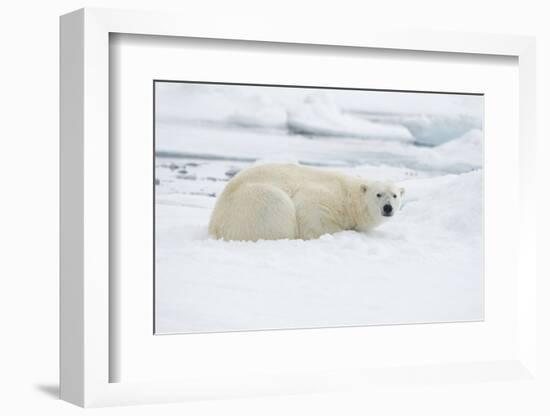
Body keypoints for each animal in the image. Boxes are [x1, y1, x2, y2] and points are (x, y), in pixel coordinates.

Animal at [209, 162, 408, 240]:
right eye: (378, 194)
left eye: (395, 195)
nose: (387, 208)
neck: (348, 197)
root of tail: (215, 224)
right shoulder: (324, 195)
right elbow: (311, 210)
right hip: (257, 202)